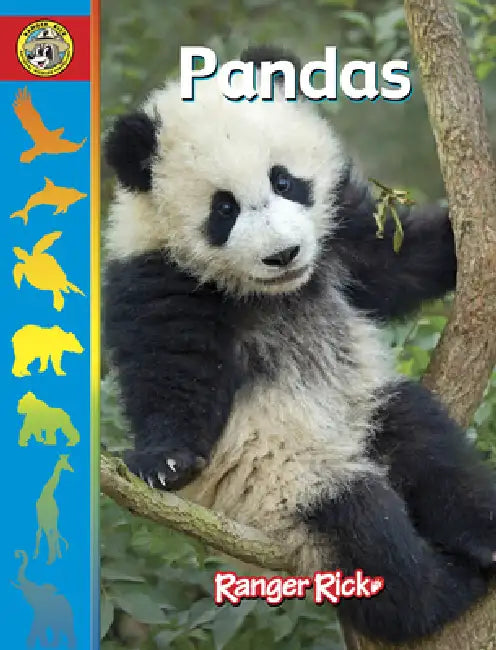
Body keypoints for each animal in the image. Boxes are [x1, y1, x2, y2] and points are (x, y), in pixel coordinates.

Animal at [103, 46, 496, 643]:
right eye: (224, 209)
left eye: (285, 181)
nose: (284, 254)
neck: (274, 293)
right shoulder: (157, 278)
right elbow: (173, 373)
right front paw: (163, 460)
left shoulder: (338, 237)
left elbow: (396, 261)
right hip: (286, 492)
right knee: (367, 534)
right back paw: (447, 587)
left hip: (366, 408)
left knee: (430, 447)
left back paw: (485, 540)